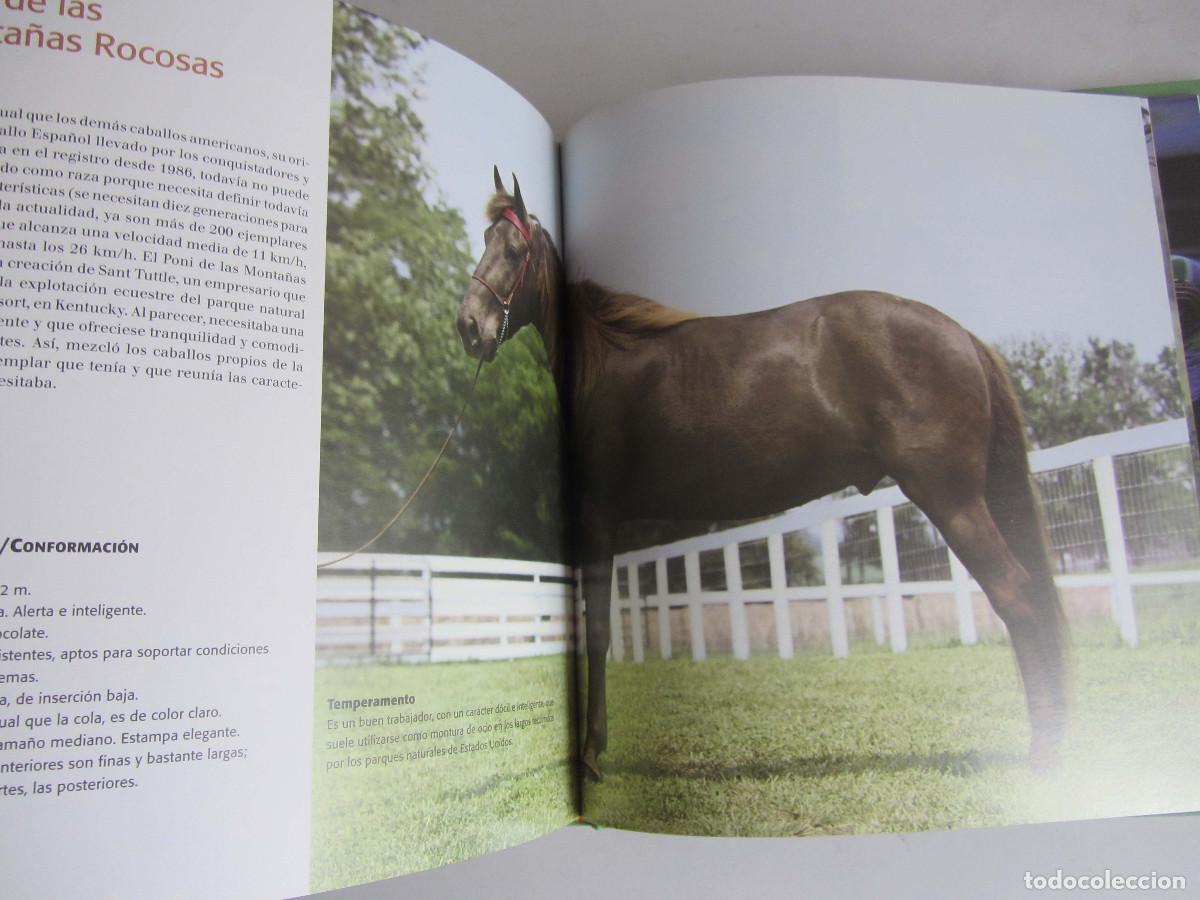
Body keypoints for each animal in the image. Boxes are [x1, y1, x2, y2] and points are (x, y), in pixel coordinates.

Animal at [457, 168, 1068, 781]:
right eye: (483, 240)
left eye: (514, 251)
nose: (468, 326)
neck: (606, 362)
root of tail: (963, 337)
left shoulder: (599, 517)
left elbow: (601, 633)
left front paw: (589, 756)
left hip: (953, 500)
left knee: (1016, 594)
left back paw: (1043, 754)